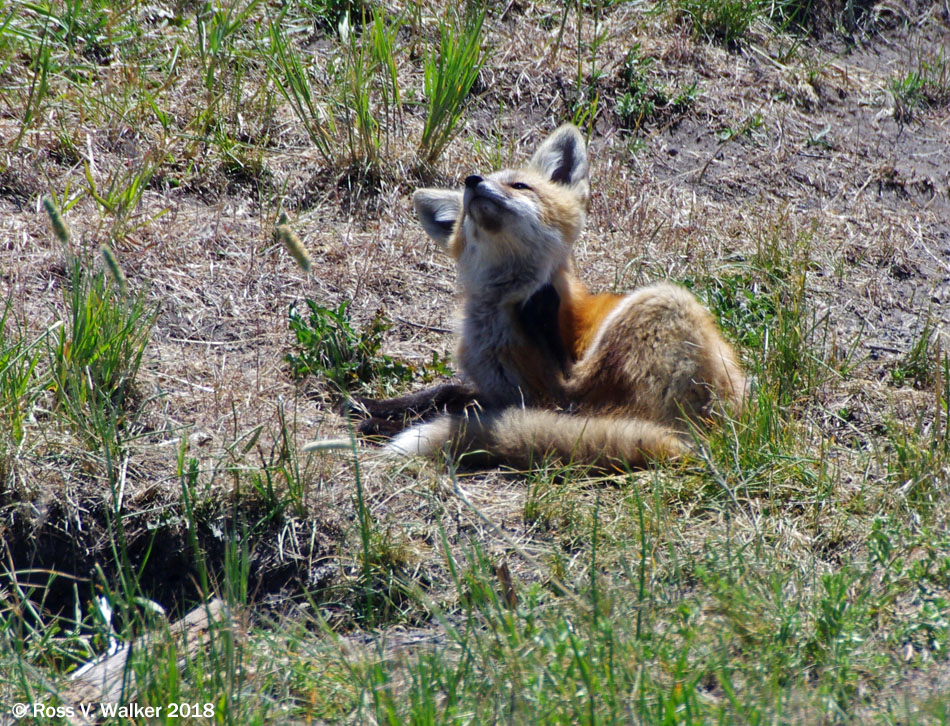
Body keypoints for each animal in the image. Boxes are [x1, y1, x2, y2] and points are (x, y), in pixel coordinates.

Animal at [384, 125, 748, 472]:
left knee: (571, 397)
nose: (472, 180)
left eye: (519, 186)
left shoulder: (533, 389)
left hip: (658, 303)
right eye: (463, 213)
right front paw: (384, 410)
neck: (501, 313)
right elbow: (444, 393)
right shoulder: (505, 390)